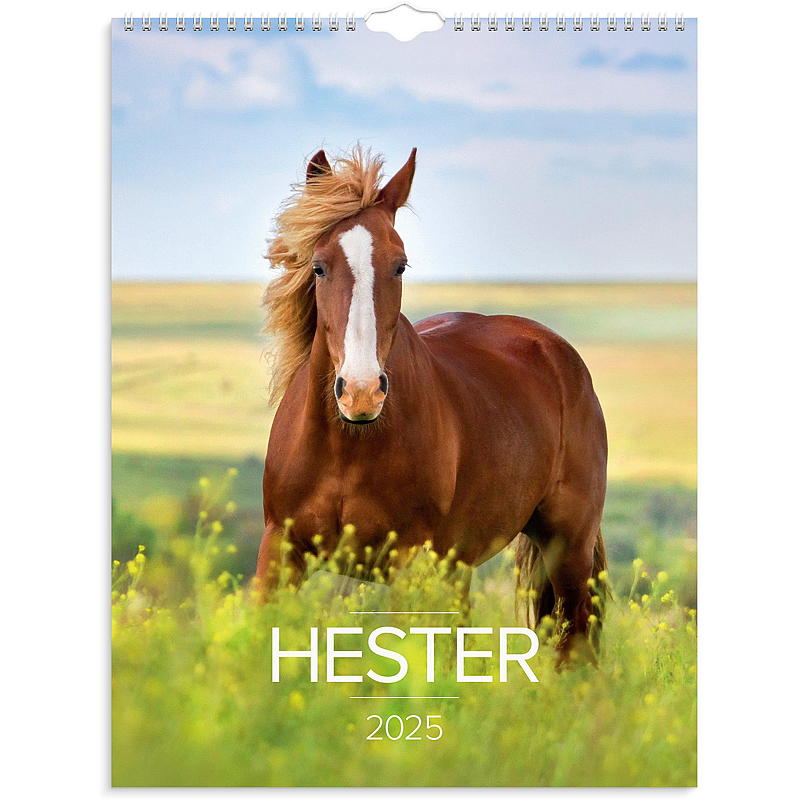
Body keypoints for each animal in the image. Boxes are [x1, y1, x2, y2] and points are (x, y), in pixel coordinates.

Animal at [258, 146, 608, 660]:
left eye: (400, 265)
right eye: (319, 266)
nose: (361, 392)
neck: (348, 445)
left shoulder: (409, 562)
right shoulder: (280, 551)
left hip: (568, 546)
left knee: (575, 642)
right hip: (460, 565)